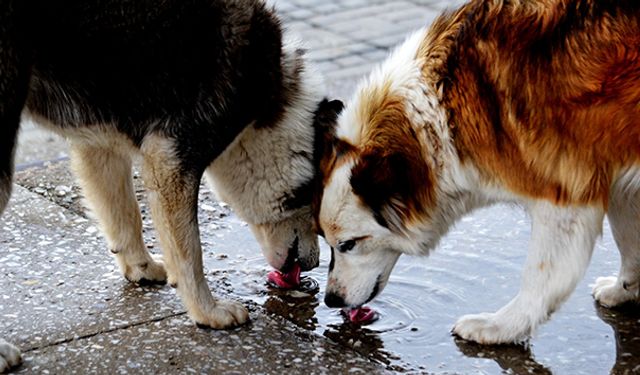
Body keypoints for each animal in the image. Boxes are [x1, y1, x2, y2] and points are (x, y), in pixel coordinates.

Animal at [0, 0, 342, 370]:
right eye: (317, 215)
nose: (313, 267)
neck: (267, 105)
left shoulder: (99, 143)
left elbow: (125, 215)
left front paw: (140, 266)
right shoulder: (172, 155)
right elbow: (190, 252)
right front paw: (207, 311)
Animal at [318, 0, 640, 346]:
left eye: (348, 245)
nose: (331, 300)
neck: (444, 107)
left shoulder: (565, 195)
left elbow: (542, 277)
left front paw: (502, 326)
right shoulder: (618, 176)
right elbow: (629, 240)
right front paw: (624, 290)